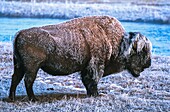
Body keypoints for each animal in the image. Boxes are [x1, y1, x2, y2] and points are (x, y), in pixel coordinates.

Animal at [8, 16, 151, 101]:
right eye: (142, 52)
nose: (148, 64)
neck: (118, 42)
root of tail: (20, 33)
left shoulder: (86, 67)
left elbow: (87, 81)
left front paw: (91, 94)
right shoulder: (96, 65)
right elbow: (92, 80)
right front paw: (96, 94)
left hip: (19, 65)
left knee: (15, 78)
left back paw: (12, 98)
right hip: (33, 67)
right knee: (28, 81)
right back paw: (33, 99)